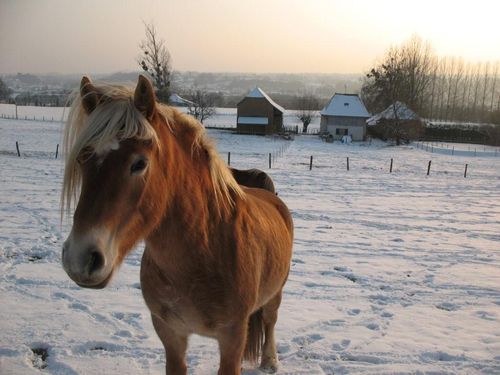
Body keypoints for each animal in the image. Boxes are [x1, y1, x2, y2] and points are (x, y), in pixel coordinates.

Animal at [61, 75, 292, 374]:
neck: (205, 250)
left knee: (270, 320)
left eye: (139, 163)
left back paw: (269, 360)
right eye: (82, 159)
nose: (80, 260)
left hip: (276, 292)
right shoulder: (170, 334)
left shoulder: (232, 337)